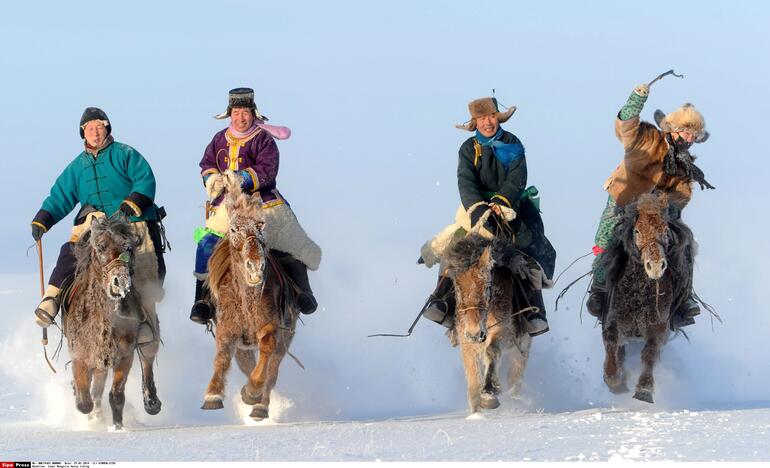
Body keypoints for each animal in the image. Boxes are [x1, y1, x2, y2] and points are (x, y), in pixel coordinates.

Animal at [63, 215, 164, 428]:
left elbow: (116, 396)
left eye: (128, 248)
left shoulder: (124, 357)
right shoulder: (81, 357)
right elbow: (84, 401)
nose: (120, 281)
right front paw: (90, 412)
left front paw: (118, 427)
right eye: (101, 247)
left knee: (148, 353)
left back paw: (151, 402)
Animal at [440, 234, 532, 414]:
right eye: (457, 288)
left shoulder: (502, 331)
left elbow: (492, 351)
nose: (475, 333)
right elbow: (474, 379)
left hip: (520, 351)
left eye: (488, 286)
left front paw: (489, 394)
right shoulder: (466, 342)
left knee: (514, 378)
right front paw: (476, 412)